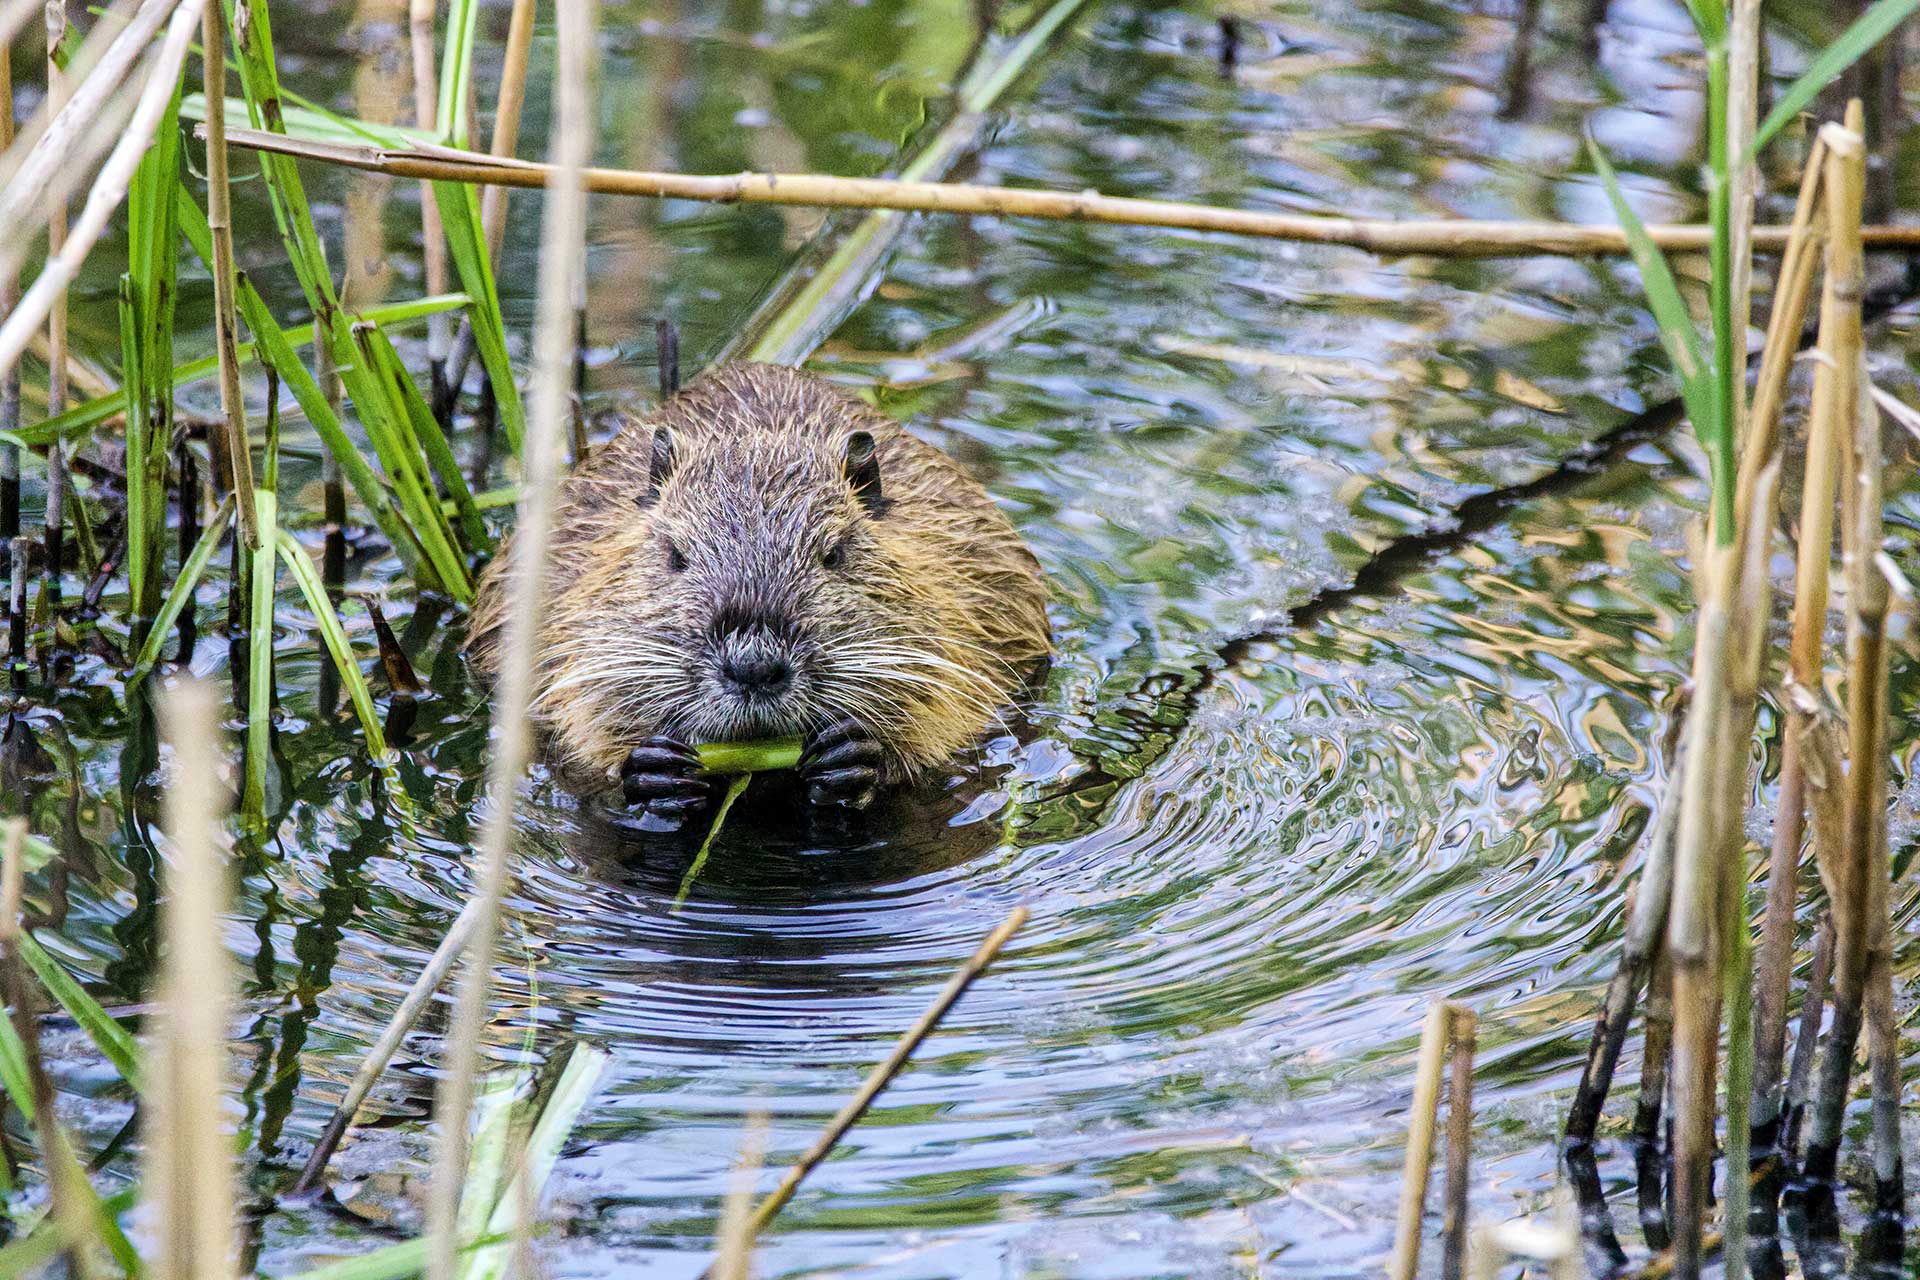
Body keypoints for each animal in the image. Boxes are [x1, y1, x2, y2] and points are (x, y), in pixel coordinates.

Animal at [470, 360, 1059, 821]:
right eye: (675, 555)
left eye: (834, 553)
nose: (753, 667)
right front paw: (653, 768)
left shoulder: (963, 588)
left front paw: (854, 756)